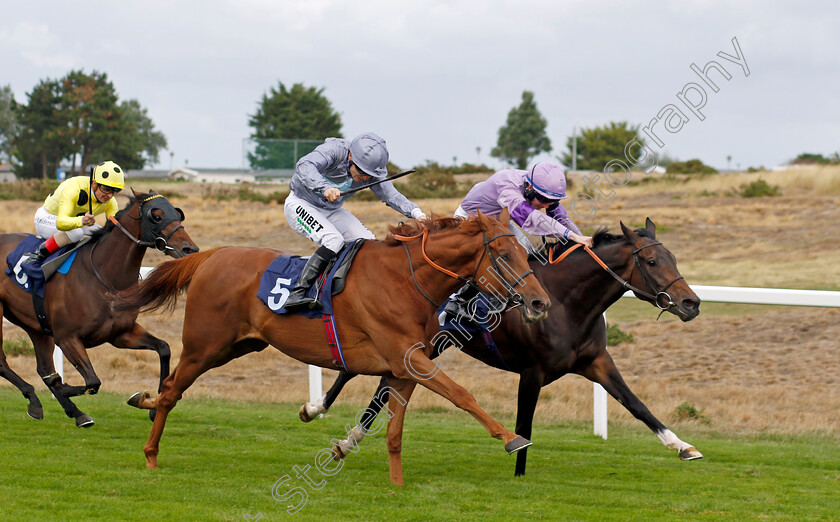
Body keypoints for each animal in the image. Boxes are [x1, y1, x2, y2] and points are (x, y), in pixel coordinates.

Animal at [0, 189, 199, 424]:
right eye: (156, 216)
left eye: (178, 213)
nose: (190, 248)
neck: (104, 277)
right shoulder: (67, 338)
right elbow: (92, 382)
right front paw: (63, 387)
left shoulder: (120, 333)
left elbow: (164, 348)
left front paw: (153, 407)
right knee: (5, 363)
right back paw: (37, 398)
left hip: (35, 324)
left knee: (44, 368)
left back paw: (67, 411)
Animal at [115, 211, 556, 484]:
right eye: (503, 255)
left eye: (524, 252)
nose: (540, 302)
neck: (406, 281)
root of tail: (212, 255)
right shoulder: (407, 359)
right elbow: (462, 394)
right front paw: (512, 438)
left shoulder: (404, 367)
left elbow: (393, 430)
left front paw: (396, 484)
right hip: (204, 345)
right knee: (172, 391)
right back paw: (151, 453)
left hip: (237, 346)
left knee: (168, 385)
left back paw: (142, 400)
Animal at [300, 217, 704, 474]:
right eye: (651, 260)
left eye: (673, 258)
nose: (692, 303)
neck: (565, 302)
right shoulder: (532, 371)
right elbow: (525, 424)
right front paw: (518, 471)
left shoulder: (597, 362)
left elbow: (638, 406)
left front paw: (684, 447)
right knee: (358, 374)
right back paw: (317, 409)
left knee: (383, 386)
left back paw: (344, 437)